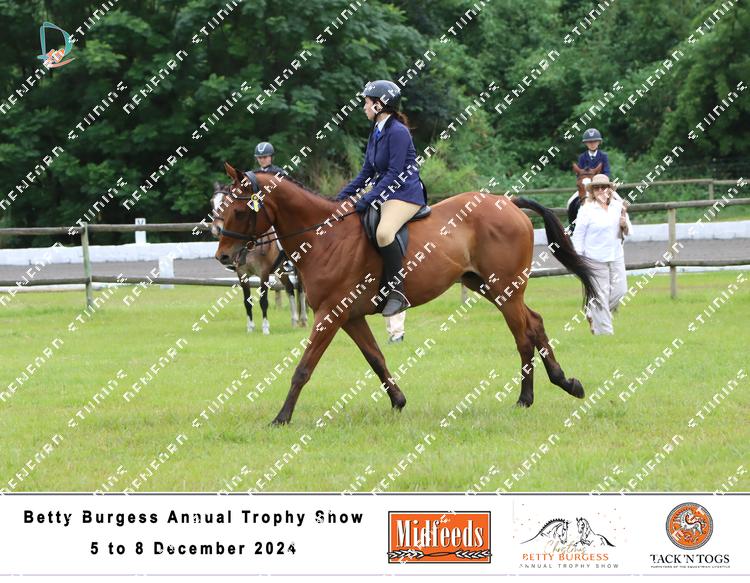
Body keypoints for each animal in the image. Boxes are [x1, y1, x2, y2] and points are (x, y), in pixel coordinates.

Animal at [210, 182, 308, 334]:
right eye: (212, 202)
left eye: (228, 202)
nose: (217, 229)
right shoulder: (242, 274)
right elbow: (247, 301)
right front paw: (250, 328)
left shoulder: (264, 273)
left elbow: (263, 301)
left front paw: (265, 328)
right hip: (280, 270)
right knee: (290, 289)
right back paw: (294, 320)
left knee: (301, 290)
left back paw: (303, 320)